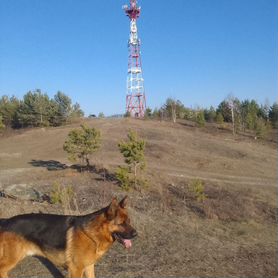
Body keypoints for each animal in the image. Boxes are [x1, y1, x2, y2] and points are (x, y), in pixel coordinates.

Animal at [0, 197, 137, 278]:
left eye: (129, 221)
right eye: (121, 223)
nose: (136, 234)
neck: (93, 234)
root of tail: (6, 221)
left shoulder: (88, 266)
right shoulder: (76, 269)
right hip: (11, 259)